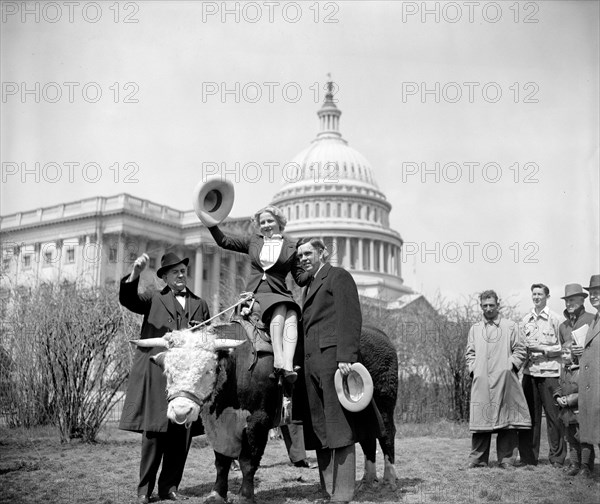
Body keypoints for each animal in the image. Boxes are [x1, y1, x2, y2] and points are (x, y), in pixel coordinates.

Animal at [132, 320, 398, 502]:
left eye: (207, 369)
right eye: (167, 370)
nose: (181, 411)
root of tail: (379, 334)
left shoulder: (257, 421)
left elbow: (248, 461)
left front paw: (245, 495)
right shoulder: (219, 424)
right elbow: (222, 461)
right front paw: (217, 494)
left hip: (385, 403)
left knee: (386, 435)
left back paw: (389, 479)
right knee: (367, 438)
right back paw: (367, 480)